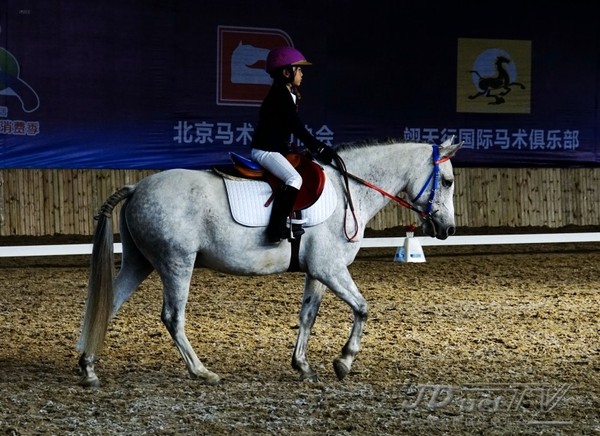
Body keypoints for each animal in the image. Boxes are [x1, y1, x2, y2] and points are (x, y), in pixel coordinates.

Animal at [77, 136, 462, 384]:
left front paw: (303, 366)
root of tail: (137, 188)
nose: (448, 229)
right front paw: (343, 361)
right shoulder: (330, 268)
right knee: (173, 317)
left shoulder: (318, 271)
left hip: (139, 262)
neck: (347, 190)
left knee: (108, 306)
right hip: (177, 263)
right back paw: (202, 372)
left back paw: (88, 368)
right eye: (446, 181)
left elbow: (308, 315)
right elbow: (362, 308)